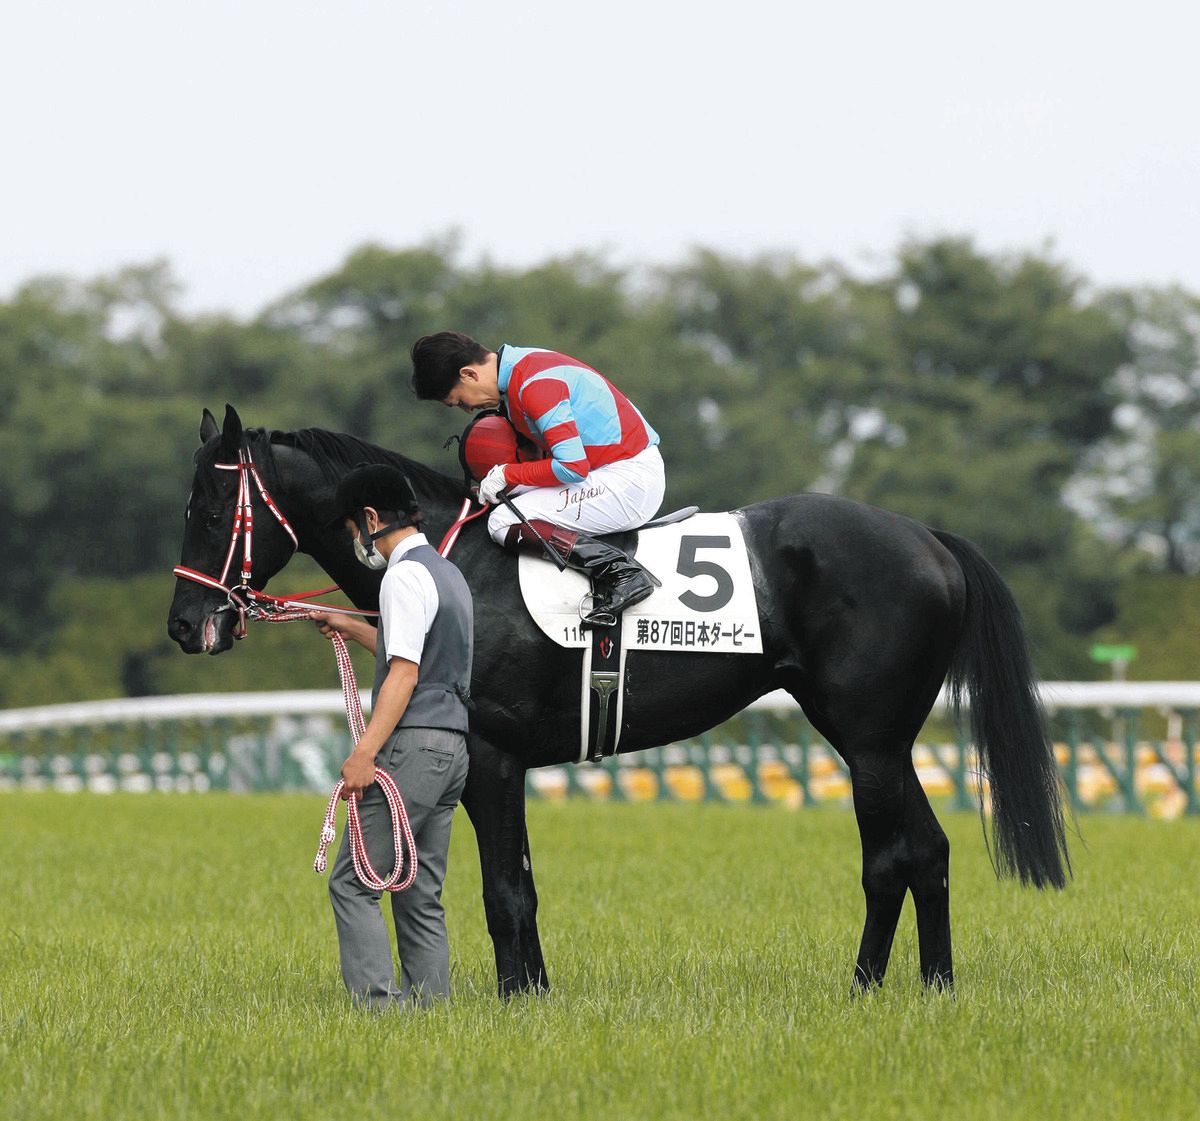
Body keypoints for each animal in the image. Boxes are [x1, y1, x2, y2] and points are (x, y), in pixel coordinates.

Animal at [169, 408, 1070, 993]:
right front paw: (535, 992)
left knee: (889, 857)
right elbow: (524, 881)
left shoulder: (493, 758)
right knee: (931, 849)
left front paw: (517, 998)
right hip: (876, 737)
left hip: (869, 738)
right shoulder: (507, 767)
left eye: (210, 509)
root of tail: (927, 539)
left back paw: (864, 986)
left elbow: (504, 890)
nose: (186, 624)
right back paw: (934, 984)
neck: (460, 560)